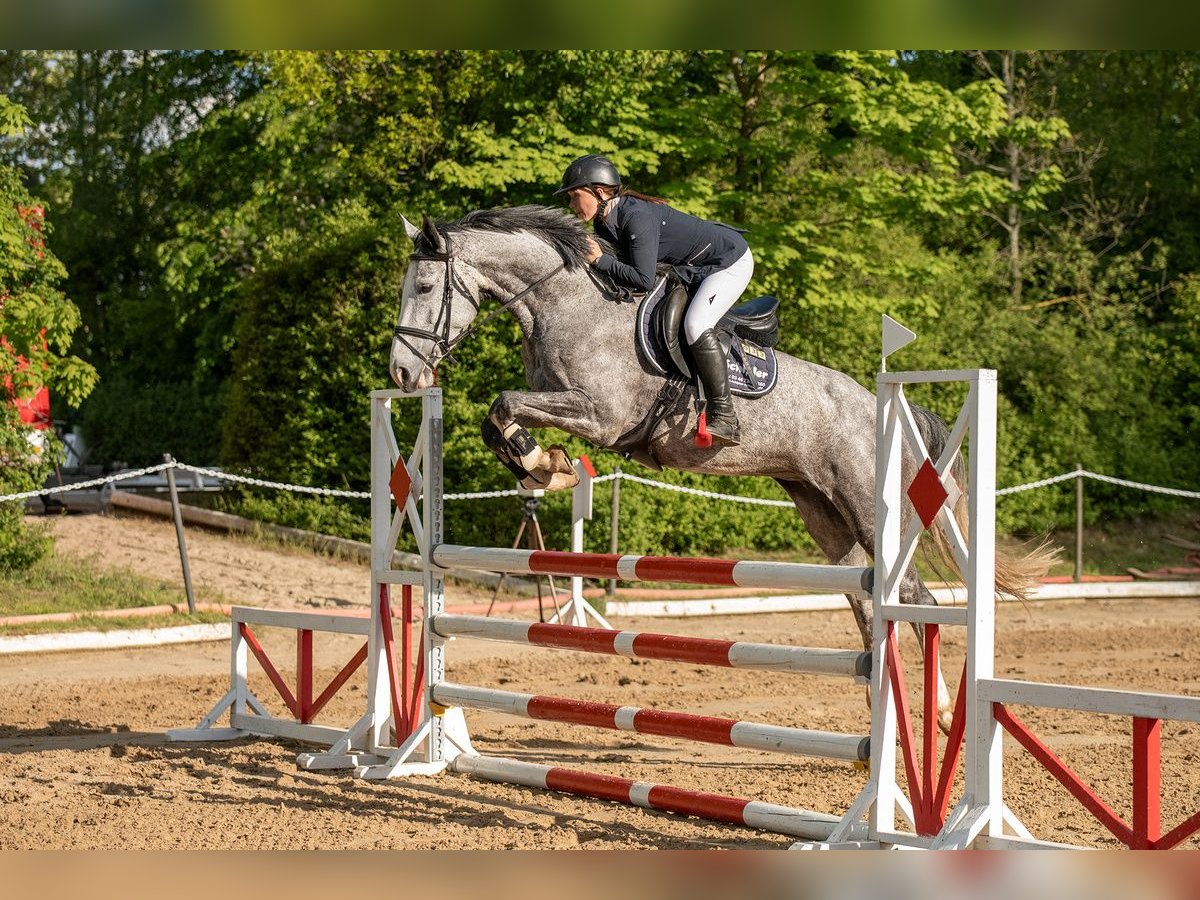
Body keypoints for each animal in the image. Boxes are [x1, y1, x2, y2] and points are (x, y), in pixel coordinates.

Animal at [391, 206, 1051, 734]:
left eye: (423, 284)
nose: (401, 374)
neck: (565, 305)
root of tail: (877, 403)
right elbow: (497, 415)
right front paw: (542, 467)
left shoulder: (600, 415)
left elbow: (504, 404)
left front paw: (542, 465)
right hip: (822, 512)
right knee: (864, 601)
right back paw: (873, 712)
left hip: (865, 504)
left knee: (912, 597)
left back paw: (936, 712)